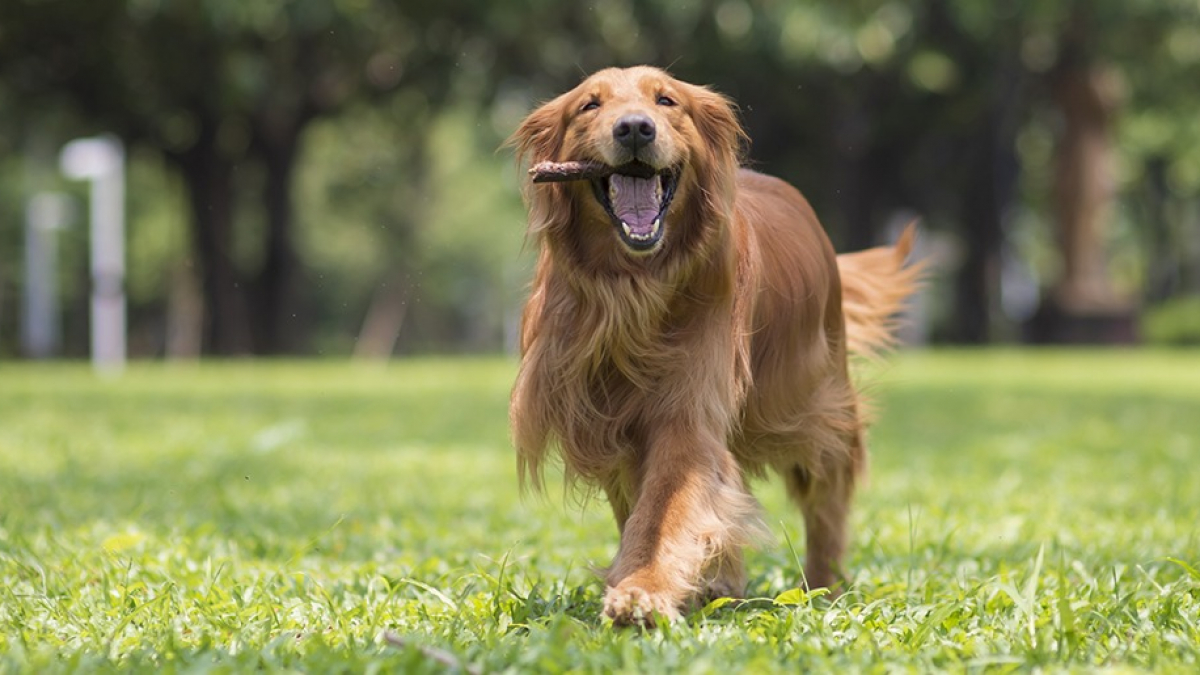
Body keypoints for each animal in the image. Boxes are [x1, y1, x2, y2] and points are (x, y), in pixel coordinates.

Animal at [508, 65, 916, 624]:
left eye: (666, 100)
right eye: (590, 105)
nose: (634, 128)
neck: (633, 290)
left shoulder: (687, 410)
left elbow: (665, 508)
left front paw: (644, 587)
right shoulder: (606, 419)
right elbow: (648, 507)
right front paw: (668, 580)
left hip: (817, 404)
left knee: (826, 499)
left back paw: (823, 587)